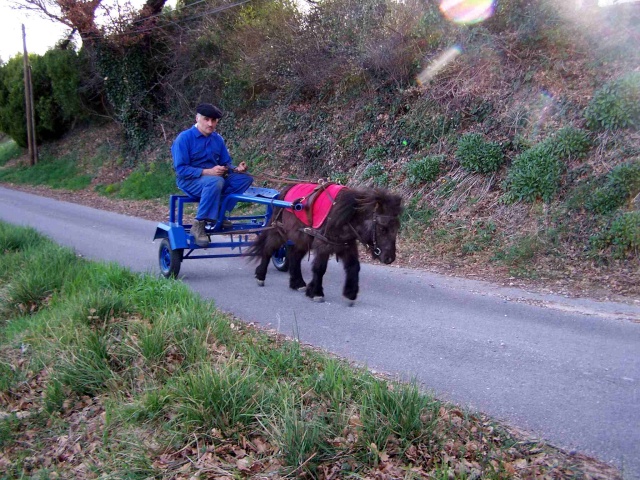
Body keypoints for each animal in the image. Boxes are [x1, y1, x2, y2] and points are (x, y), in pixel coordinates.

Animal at [248, 184, 402, 304]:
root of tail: (284, 191)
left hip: (301, 239)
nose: (390, 258)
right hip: (279, 232)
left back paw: (297, 283)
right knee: (268, 250)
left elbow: (354, 267)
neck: (344, 216)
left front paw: (350, 293)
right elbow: (320, 268)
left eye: (397, 228)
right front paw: (316, 293)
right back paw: (261, 276)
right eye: (382, 228)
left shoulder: (347, 246)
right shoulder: (323, 245)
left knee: (294, 256)